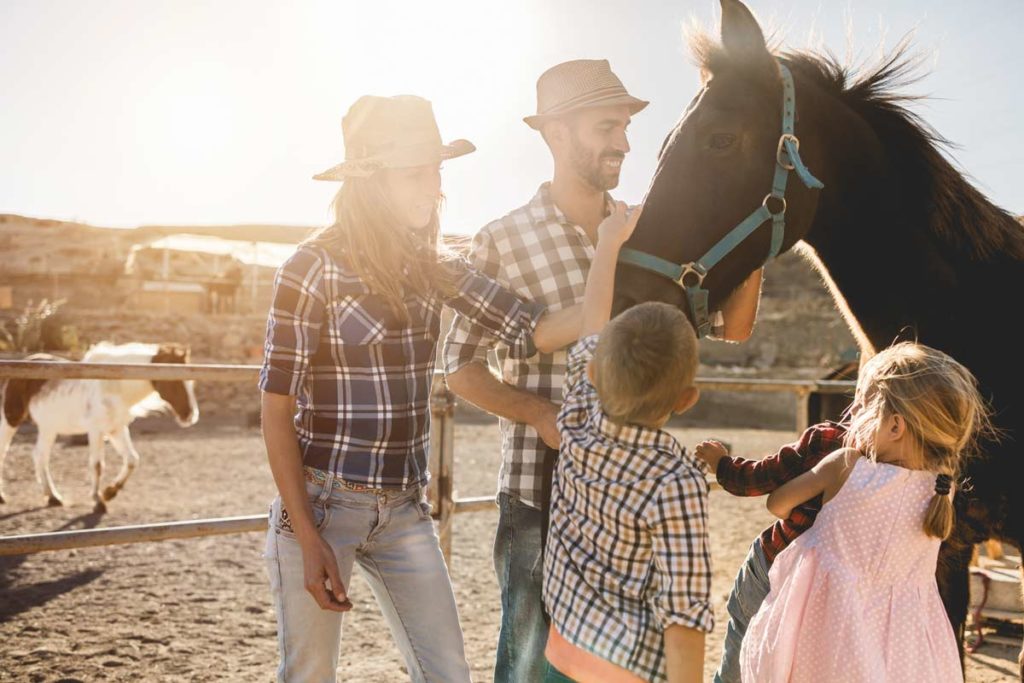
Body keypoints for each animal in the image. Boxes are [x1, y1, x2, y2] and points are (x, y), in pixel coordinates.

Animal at [0, 344, 197, 509]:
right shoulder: (96, 430)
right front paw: (98, 499)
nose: (190, 416)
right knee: (5, 451)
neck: (114, 386)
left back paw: (53, 497)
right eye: (174, 381)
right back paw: (3, 497)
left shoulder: (117, 429)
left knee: (40, 456)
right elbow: (97, 465)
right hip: (12, 419)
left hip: (48, 427)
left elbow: (132, 459)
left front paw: (110, 492)